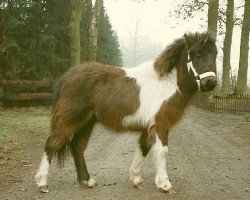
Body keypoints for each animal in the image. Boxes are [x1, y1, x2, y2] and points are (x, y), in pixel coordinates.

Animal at [34, 32, 217, 194]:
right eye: (195, 54)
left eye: (215, 54)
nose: (210, 83)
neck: (167, 84)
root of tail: (66, 77)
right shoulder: (161, 125)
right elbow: (162, 151)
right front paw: (165, 185)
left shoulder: (148, 128)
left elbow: (143, 148)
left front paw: (136, 180)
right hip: (70, 119)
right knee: (52, 144)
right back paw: (43, 184)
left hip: (87, 122)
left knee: (78, 147)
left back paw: (88, 181)